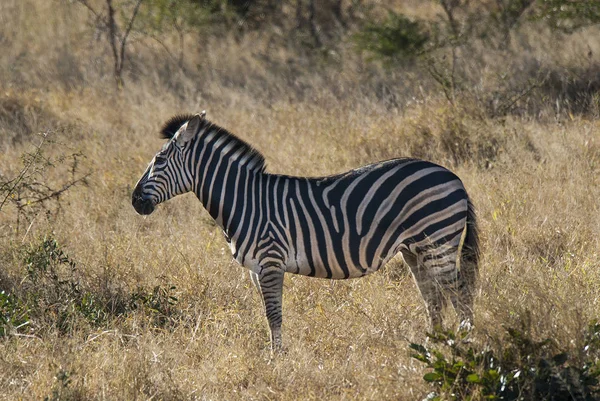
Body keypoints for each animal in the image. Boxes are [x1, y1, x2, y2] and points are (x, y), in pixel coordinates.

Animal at [134, 111, 480, 350]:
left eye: (160, 160)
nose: (135, 201)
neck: (244, 200)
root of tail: (454, 177)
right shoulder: (255, 270)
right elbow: (268, 314)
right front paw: (274, 355)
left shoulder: (270, 261)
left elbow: (274, 313)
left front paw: (277, 360)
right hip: (415, 249)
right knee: (434, 298)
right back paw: (434, 346)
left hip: (438, 241)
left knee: (460, 294)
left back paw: (464, 346)